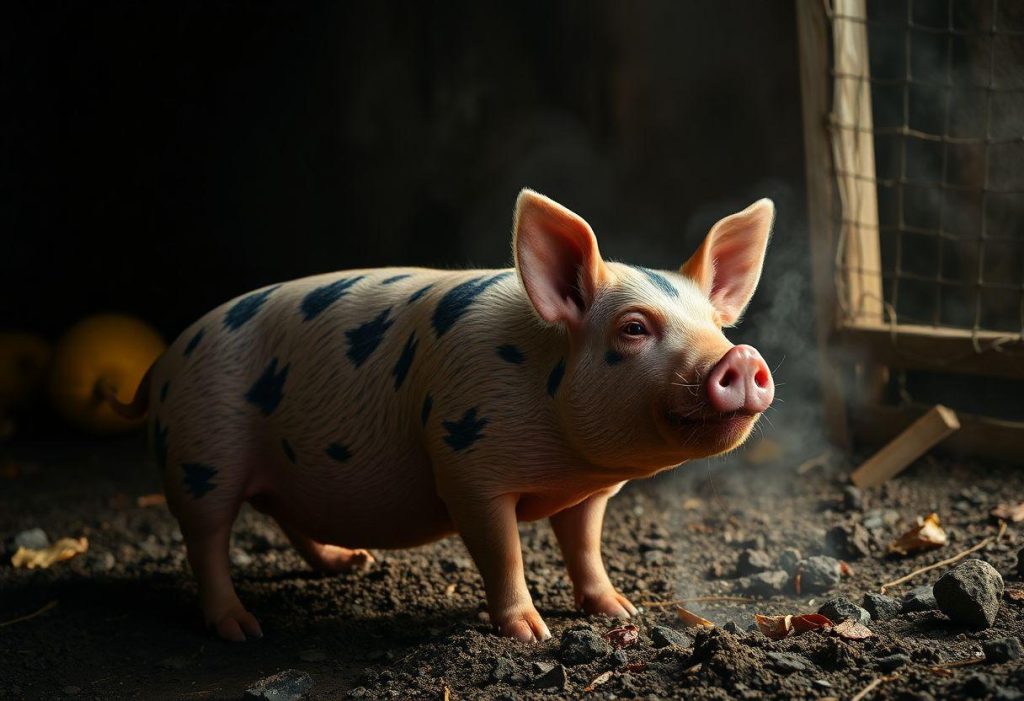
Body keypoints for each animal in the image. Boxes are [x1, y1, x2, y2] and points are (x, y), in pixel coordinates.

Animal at [110, 189, 775, 643]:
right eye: (634, 328)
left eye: (716, 326)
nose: (740, 356)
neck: (562, 466)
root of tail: (164, 362)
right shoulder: (466, 469)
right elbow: (502, 552)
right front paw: (533, 635)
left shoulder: (588, 493)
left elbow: (585, 546)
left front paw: (621, 609)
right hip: (201, 454)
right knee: (206, 541)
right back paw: (244, 629)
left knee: (283, 515)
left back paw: (351, 562)